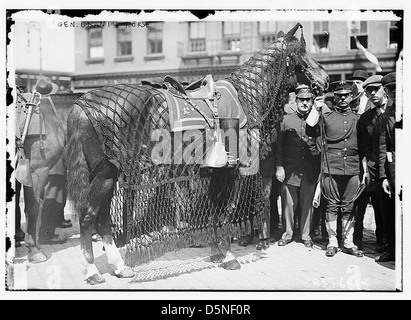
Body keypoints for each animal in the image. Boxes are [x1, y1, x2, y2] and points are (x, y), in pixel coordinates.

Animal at [65, 22, 328, 284]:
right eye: (302, 52)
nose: (325, 78)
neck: (244, 97)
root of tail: (82, 104)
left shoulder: (214, 173)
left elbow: (213, 210)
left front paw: (215, 251)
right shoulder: (233, 171)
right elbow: (226, 212)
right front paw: (229, 255)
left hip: (107, 174)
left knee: (102, 219)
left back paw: (120, 266)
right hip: (105, 174)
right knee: (89, 217)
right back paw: (92, 271)